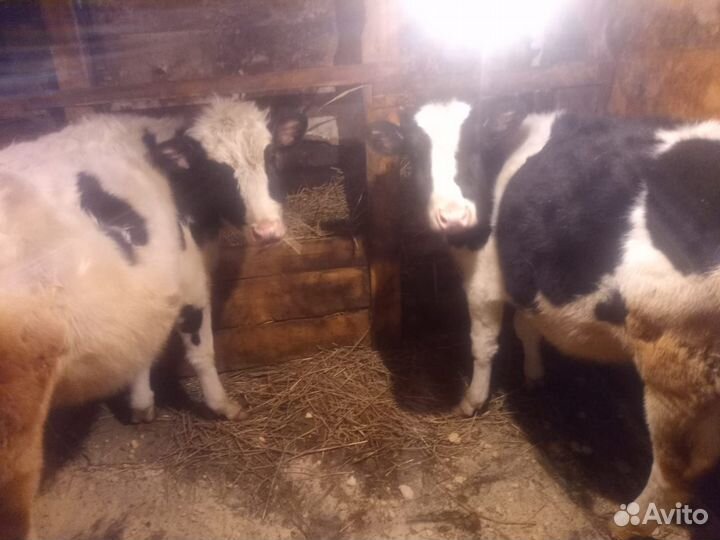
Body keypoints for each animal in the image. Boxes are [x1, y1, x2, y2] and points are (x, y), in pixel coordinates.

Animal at [0, 98, 302, 540]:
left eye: (273, 156)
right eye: (215, 171)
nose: (268, 231)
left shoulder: (148, 292)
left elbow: (143, 346)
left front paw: (142, 406)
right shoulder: (191, 281)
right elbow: (200, 353)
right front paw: (221, 405)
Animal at [368, 100, 720, 538]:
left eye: (474, 144)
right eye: (415, 152)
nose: (454, 217)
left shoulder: (484, 279)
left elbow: (484, 343)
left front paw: (472, 399)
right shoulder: (524, 274)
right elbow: (527, 328)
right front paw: (534, 374)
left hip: (675, 370)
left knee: (676, 471)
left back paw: (627, 523)